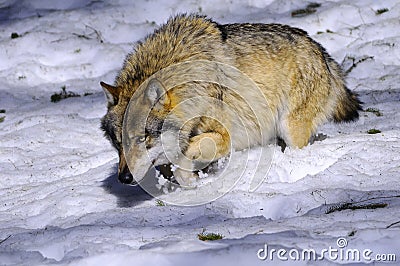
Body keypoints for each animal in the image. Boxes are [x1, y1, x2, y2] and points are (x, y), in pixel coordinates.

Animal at [99, 13, 360, 186]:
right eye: (118, 142)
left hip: (290, 128)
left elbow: (189, 153)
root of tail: (322, 52)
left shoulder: (227, 136)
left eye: (142, 138)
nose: (123, 178)